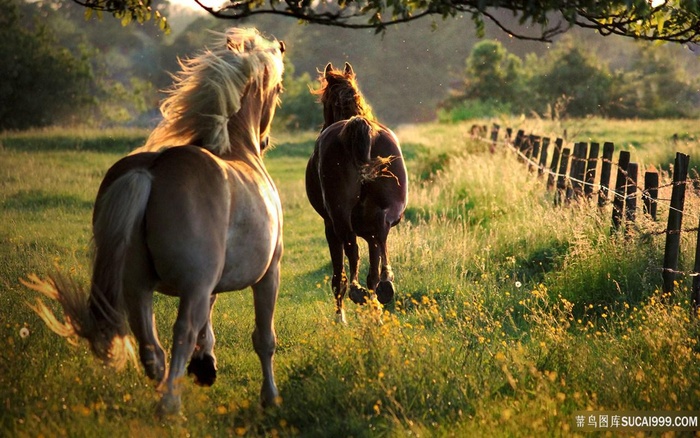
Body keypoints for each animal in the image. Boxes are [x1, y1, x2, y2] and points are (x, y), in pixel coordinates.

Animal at [22, 29, 284, 416]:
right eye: (278, 89)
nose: (264, 140)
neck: (238, 150)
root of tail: (151, 170)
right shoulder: (267, 274)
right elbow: (263, 339)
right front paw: (270, 397)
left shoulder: (211, 283)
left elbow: (210, 324)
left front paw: (206, 365)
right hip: (189, 287)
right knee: (181, 333)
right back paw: (170, 404)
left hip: (137, 287)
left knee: (151, 348)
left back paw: (165, 391)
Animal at [304, 61, 408, 324]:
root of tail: (358, 126)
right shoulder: (369, 232)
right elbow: (372, 269)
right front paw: (375, 310)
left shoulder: (329, 226)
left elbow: (338, 273)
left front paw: (340, 316)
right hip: (387, 212)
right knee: (381, 233)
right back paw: (385, 285)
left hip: (338, 218)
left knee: (351, 249)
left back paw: (354, 292)